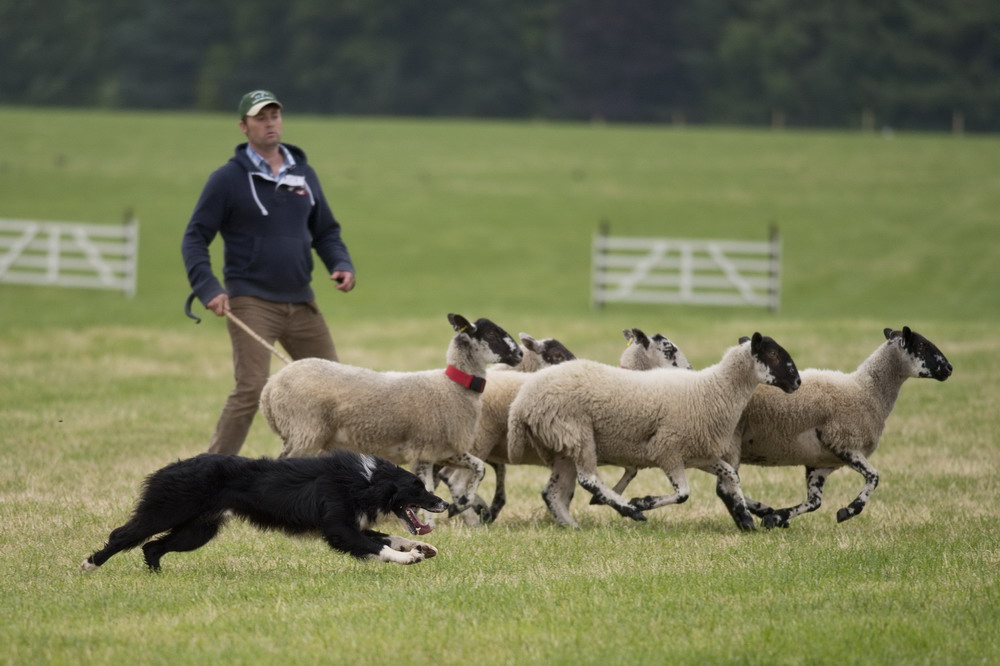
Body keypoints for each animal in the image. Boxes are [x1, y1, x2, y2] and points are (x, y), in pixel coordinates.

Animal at [80, 448, 448, 568]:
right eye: (418, 488)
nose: (443, 503)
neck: (366, 481)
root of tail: (168, 468)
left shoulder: (349, 524)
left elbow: (386, 536)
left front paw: (422, 547)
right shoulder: (338, 529)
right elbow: (377, 546)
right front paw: (408, 557)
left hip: (198, 530)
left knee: (152, 547)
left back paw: (156, 576)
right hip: (165, 510)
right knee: (124, 535)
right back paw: (89, 565)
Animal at [258, 314, 524, 516]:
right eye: (491, 335)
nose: (520, 355)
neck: (451, 387)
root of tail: (270, 389)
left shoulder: (444, 449)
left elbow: (479, 467)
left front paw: (462, 503)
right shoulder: (424, 448)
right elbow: (428, 488)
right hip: (305, 432)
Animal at [504, 332, 800, 528]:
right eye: (773, 354)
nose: (797, 382)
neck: (713, 389)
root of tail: (523, 400)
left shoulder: (698, 454)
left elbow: (731, 476)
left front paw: (747, 516)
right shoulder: (667, 449)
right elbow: (683, 494)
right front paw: (642, 502)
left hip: (562, 445)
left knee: (555, 493)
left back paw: (573, 525)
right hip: (576, 432)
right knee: (588, 479)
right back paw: (628, 510)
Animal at [736, 324, 952, 528]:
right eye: (922, 345)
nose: (949, 368)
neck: (867, 391)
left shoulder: (821, 463)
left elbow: (814, 502)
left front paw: (776, 517)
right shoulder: (843, 443)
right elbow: (874, 477)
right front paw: (848, 511)